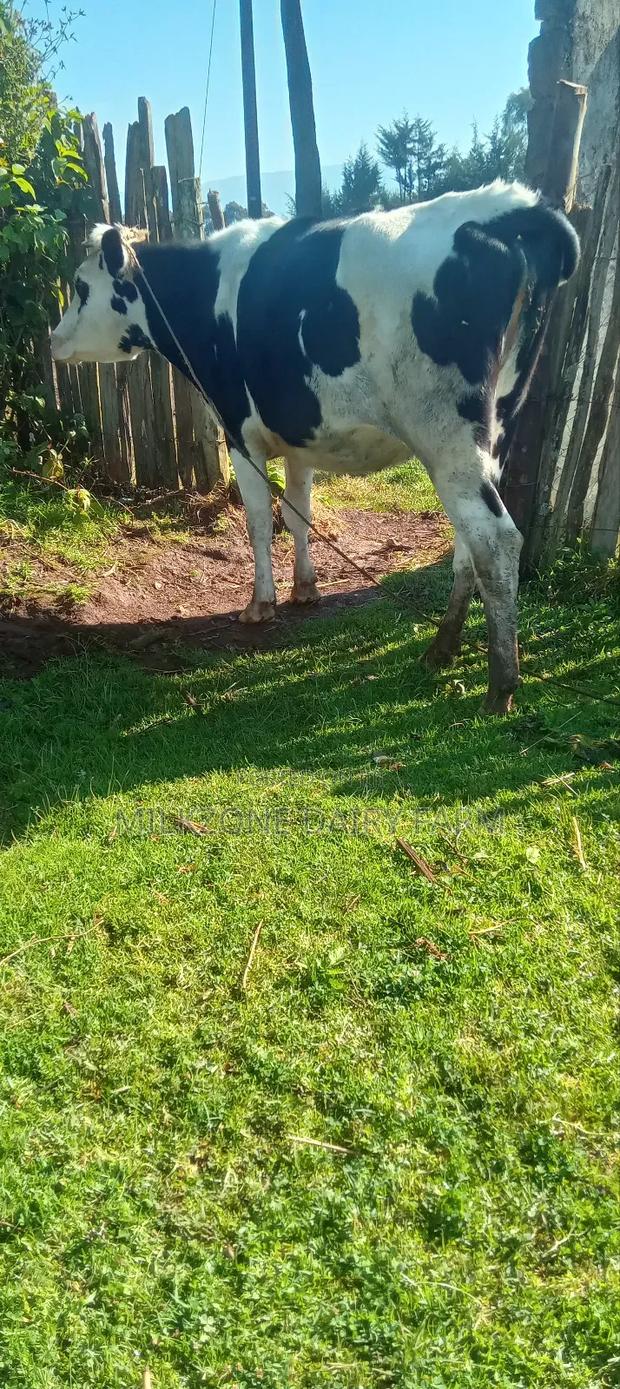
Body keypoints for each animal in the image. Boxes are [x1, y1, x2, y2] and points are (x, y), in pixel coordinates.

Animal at [51, 181, 579, 712]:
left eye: (80, 287)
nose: (53, 339)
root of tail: (508, 207)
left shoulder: (240, 433)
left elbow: (259, 521)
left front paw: (260, 603)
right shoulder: (299, 440)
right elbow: (297, 513)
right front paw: (305, 588)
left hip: (446, 438)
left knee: (496, 539)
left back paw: (500, 685)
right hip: (493, 433)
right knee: (470, 541)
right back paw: (442, 648)